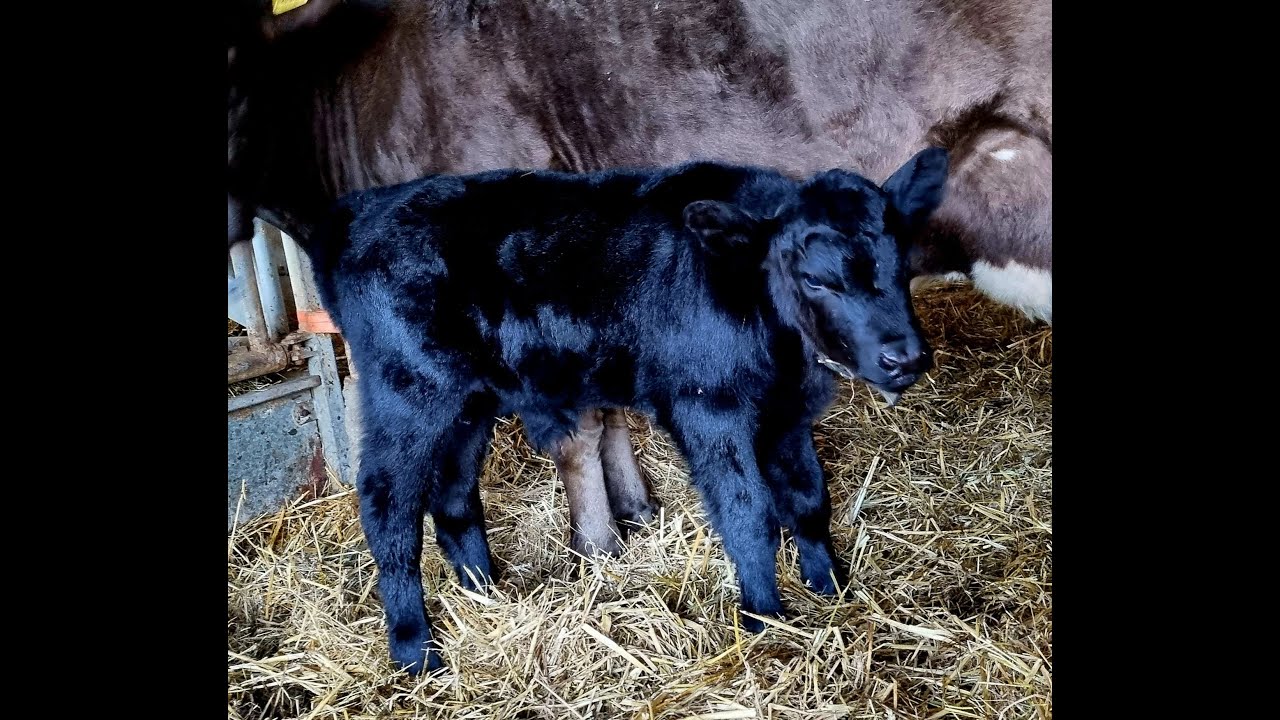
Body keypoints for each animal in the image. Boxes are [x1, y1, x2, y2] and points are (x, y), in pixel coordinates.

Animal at [301, 147, 947, 673]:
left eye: (901, 261)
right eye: (815, 280)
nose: (904, 355)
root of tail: (356, 211)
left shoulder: (788, 415)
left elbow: (810, 498)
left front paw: (831, 588)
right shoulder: (708, 406)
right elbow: (749, 512)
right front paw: (765, 619)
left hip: (468, 400)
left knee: (454, 493)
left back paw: (487, 592)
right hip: (408, 389)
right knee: (386, 502)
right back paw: (416, 650)